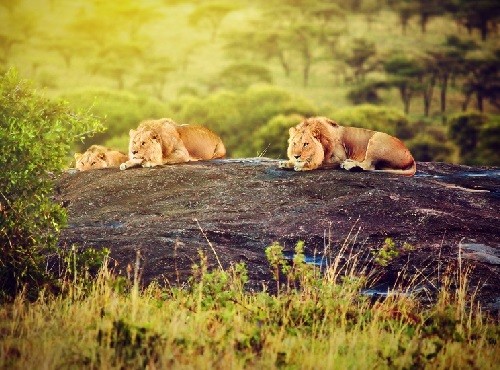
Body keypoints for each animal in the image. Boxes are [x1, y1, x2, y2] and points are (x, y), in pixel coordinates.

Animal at [280, 117, 416, 176]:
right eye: (294, 143)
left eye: (306, 144)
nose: (296, 156)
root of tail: (411, 157)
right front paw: (287, 162)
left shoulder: (339, 157)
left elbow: (319, 163)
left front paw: (301, 165)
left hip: (376, 138)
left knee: (369, 165)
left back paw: (349, 164)